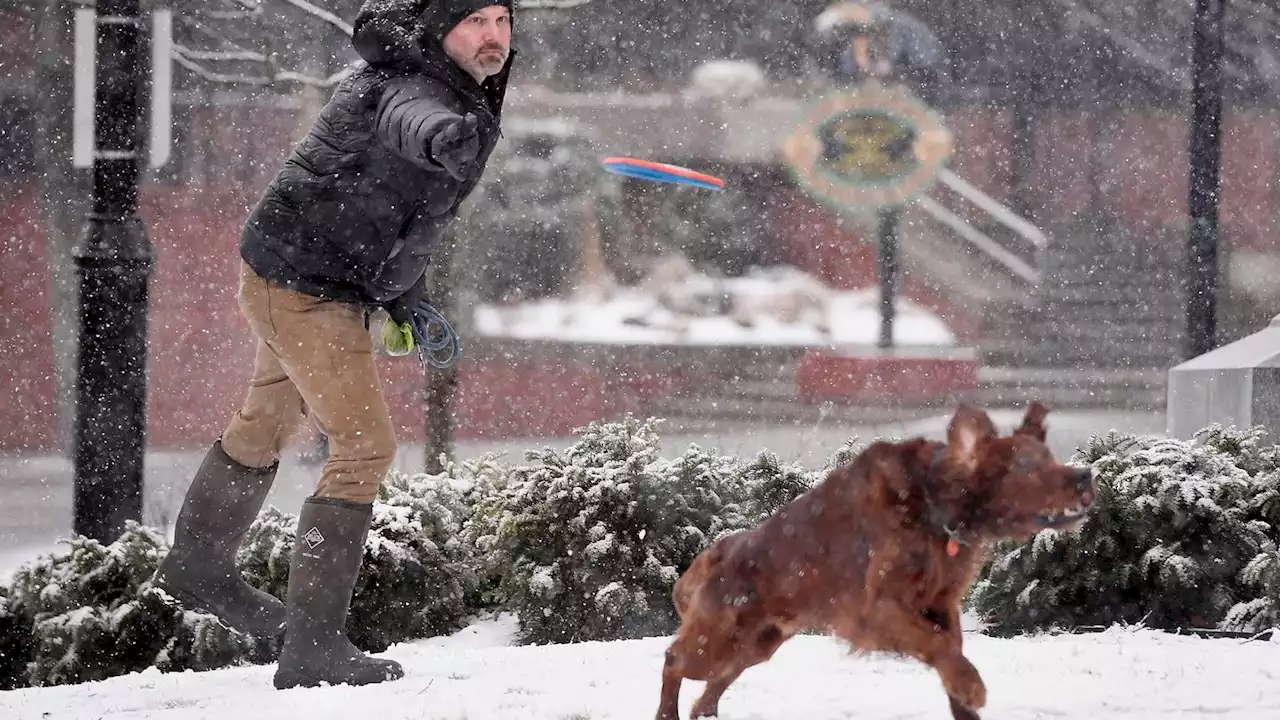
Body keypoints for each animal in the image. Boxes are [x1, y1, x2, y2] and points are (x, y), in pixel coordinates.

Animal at [660, 399, 1090, 712]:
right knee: (674, 659)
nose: (1086, 476)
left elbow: (948, 647)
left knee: (707, 691)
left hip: (756, 646)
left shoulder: (940, 604)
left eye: (1051, 458)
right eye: (1028, 467)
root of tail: (718, 551)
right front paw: (970, 686)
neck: (935, 508)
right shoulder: (878, 606)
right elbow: (938, 645)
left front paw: (961, 694)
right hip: (718, 640)